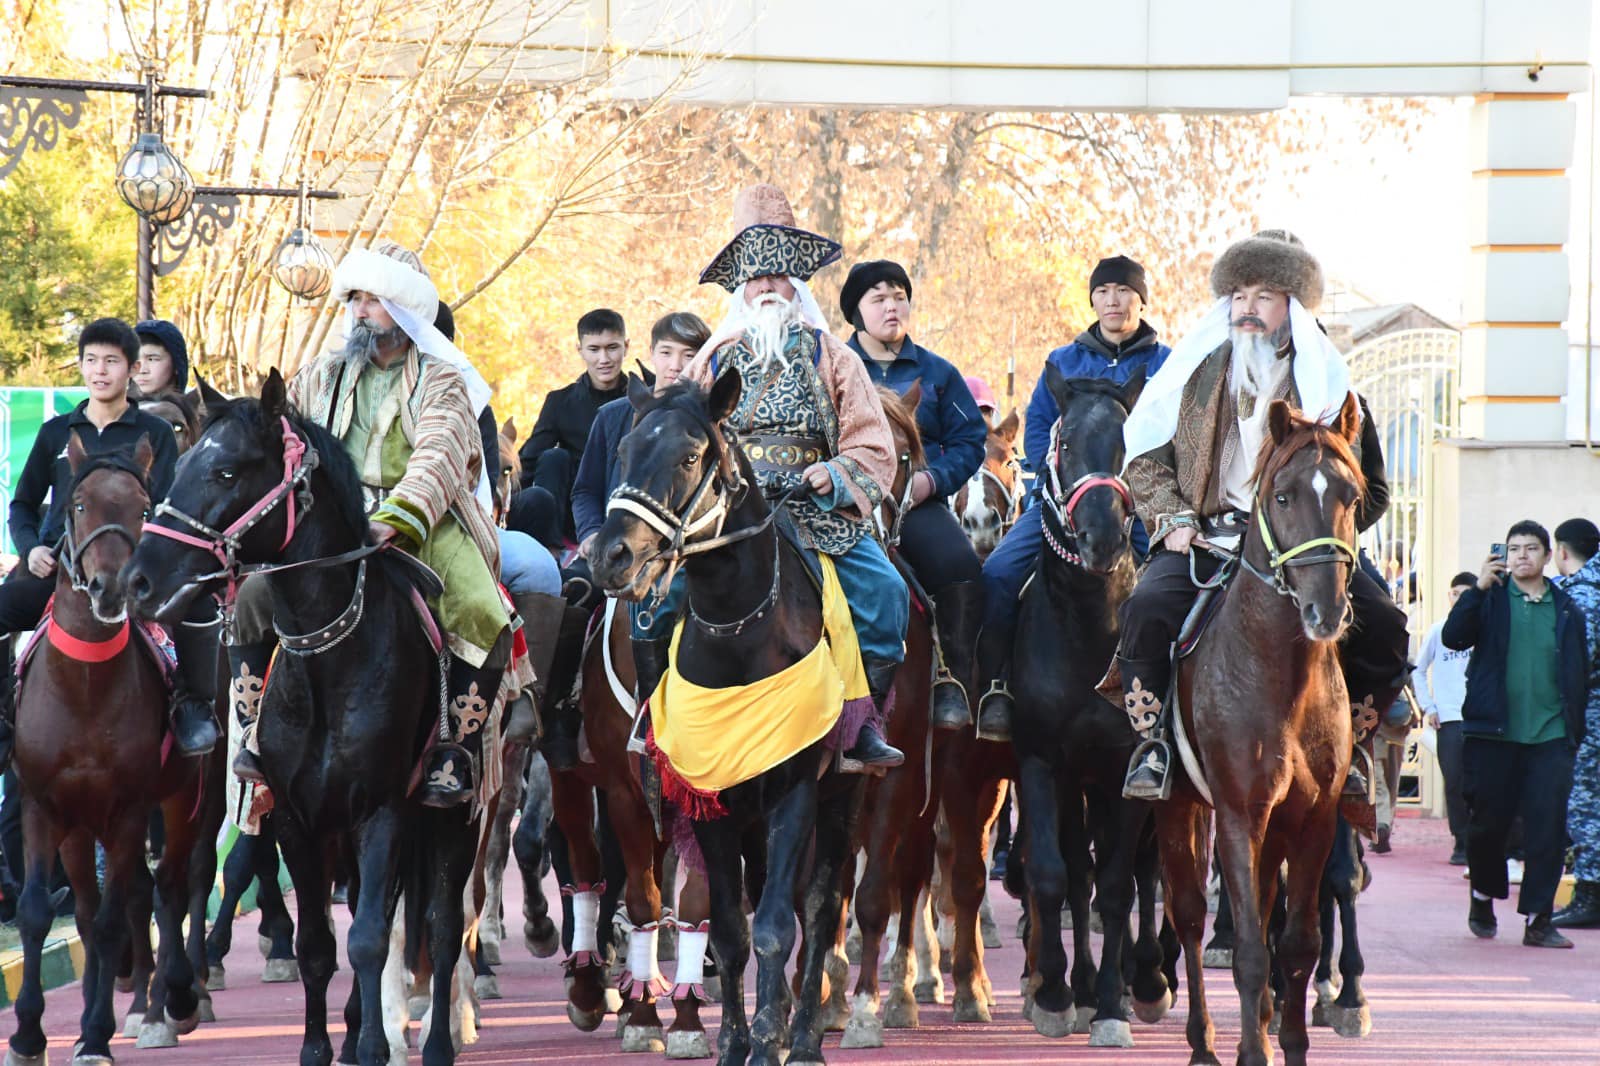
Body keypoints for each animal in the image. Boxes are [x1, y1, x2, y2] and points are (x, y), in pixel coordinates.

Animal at [9, 428, 209, 1056]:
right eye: (78, 505)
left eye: (144, 510)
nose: (112, 588)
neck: (84, 687)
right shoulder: (42, 805)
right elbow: (36, 913)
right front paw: (28, 1034)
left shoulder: (128, 809)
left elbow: (113, 919)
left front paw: (96, 1036)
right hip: (79, 826)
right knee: (100, 899)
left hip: (187, 797)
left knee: (170, 887)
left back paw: (171, 1000)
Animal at [125, 368, 480, 1062]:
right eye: (181, 463)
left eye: (227, 472)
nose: (140, 581)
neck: (330, 659)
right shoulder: (295, 812)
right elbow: (319, 944)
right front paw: (320, 1046)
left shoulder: (382, 809)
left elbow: (370, 938)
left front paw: (372, 1046)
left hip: (456, 811)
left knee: (443, 925)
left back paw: (434, 1041)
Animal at [588, 371, 864, 1062]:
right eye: (624, 451)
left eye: (689, 457)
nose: (611, 556)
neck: (741, 631)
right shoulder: (707, 798)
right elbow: (733, 928)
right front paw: (737, 1040)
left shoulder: (795, 790)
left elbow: (775, 926)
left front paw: (768, 1040)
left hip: (847, 794)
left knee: (820, 908)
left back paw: (806, 1035)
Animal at [1158, 396, 1369, 1062]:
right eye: (1283, 495)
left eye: (1352, 496)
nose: (1326, 611)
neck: (1282, 680)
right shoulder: (1238, 814)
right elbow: (1249, 947)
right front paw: (1252, 1050)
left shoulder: (1314, 819)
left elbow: (1297, 943)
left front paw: (1291, 1042)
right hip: (1178, 805)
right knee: (1188, 913)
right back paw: (1202, 1041)